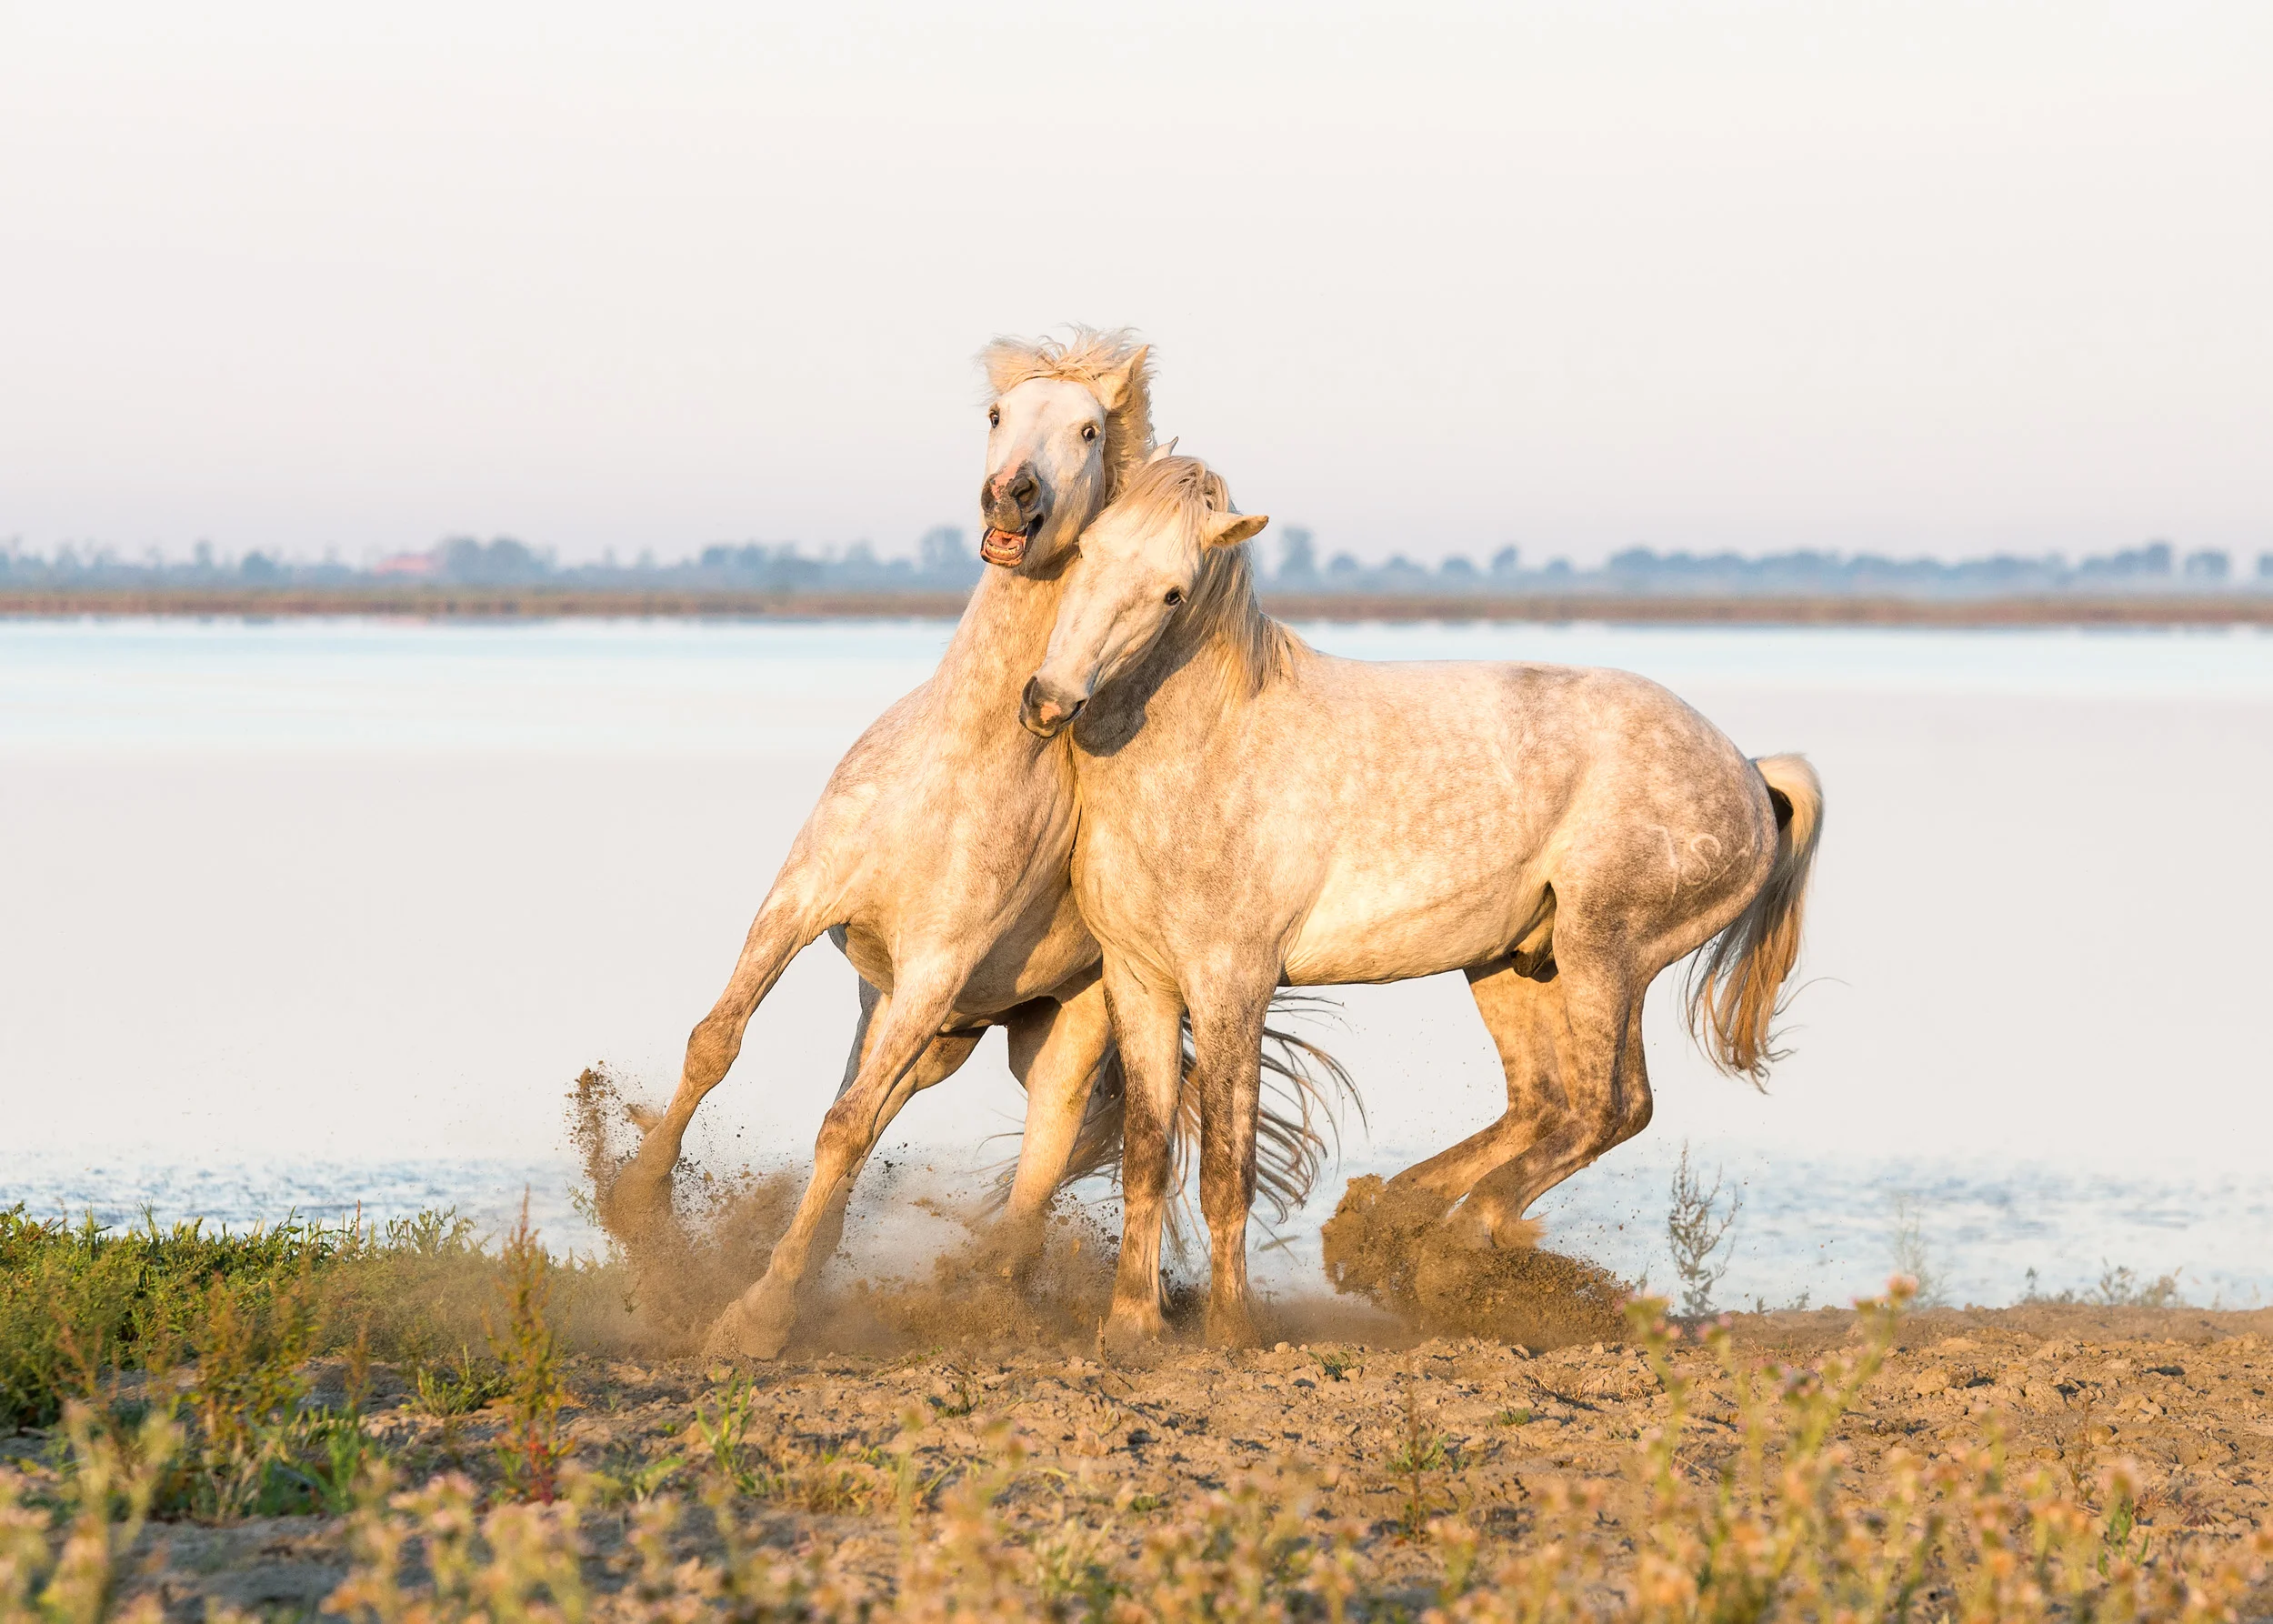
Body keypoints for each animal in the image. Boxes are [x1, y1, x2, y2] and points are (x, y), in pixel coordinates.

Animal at [600, 336, 1346, 1358]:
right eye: (997, 416)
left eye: (1087, 429)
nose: (1011, 496)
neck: (957, 764)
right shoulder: (799, 902)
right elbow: (717, 1041)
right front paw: (635, 1206)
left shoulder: (935, 969)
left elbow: (842, 1129)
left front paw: (753, 1318)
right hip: (916, 1024)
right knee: (881, 1107)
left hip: (1049, 1027)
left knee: (1034, 1156)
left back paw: (980, 1297)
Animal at [1018, 454, 1823, 1352]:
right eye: (1085, 553)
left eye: (1171, 594)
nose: (1048, 701)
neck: (1204, 751)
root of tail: (1750, 775)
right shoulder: (1140, 981)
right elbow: (1148, 1156)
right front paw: (1131, 1326)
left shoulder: (1233, 984)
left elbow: (1227, 1169)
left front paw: (1231, 1329)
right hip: (1512, 967)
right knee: (1543, 1104)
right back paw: (1392, 1222)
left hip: (1607, 953)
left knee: (1610, 1109)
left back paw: (1454, 1242)